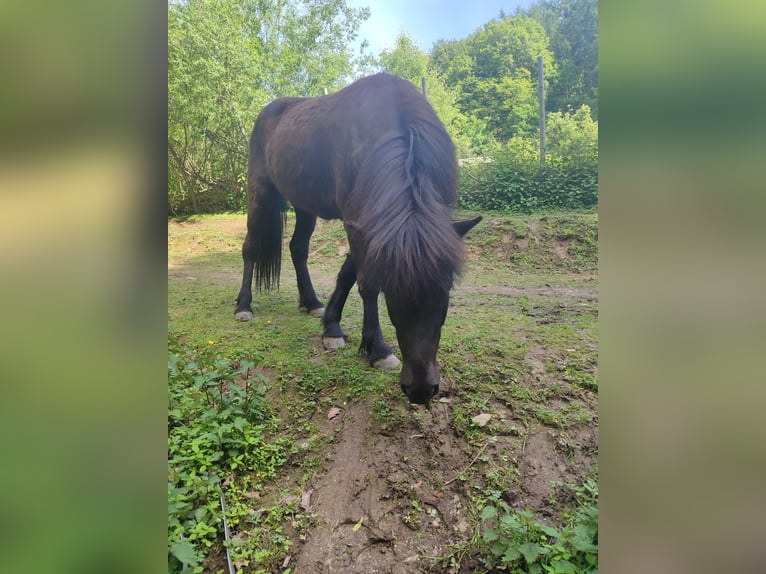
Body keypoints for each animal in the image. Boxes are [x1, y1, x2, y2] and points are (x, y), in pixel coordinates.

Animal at [235, 73, 481, 404]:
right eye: (393, 292)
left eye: (446, 290)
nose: (420, 389)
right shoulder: (357, 223)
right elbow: (367, 284)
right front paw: (377, 349)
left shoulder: (371, 227)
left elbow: (348, 274)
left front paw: (331, 325)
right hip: (258, 191)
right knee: (250, 248)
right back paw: (243, 306)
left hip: (304, 204)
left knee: (298, 248)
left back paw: (311, 302)